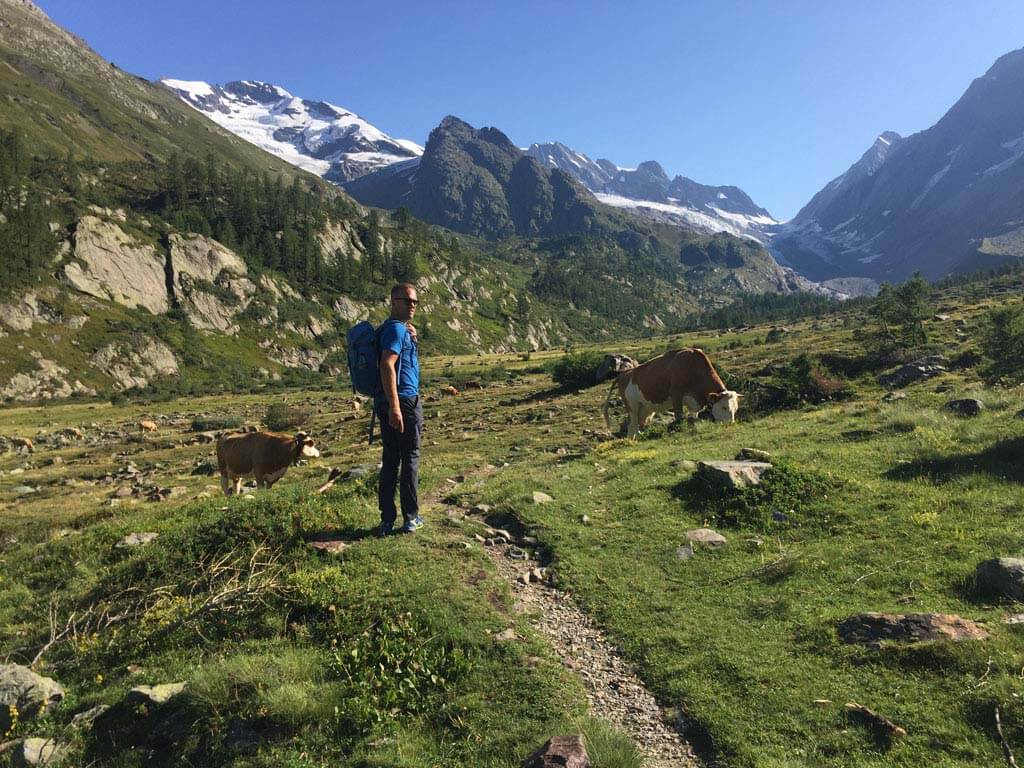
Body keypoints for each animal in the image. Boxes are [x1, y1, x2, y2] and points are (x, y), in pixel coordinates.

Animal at [598, 348, 737, 438]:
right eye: (724, 407)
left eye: (735, 409)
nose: (731, 424)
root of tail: (624, 374)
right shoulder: (676, 394)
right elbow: (679, 416)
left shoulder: (694, 402)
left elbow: (694, 416)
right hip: (632, 406)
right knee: (632, 427)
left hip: (644, 409)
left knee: (635, 427)